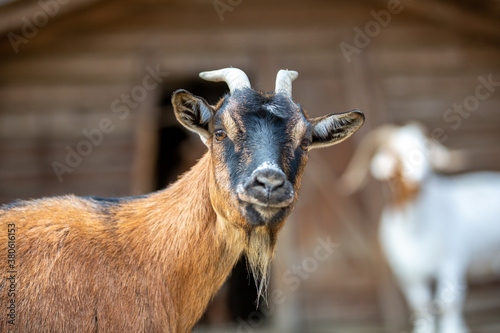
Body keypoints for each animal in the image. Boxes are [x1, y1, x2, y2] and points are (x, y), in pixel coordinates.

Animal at [340, 122, 500, 332]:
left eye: (426, 146)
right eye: (394, 152)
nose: (419, 176)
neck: (416, 230)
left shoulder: (452, 262)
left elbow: (448, 304)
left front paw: (455, 329)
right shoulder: (407, 274)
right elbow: (421, 305)